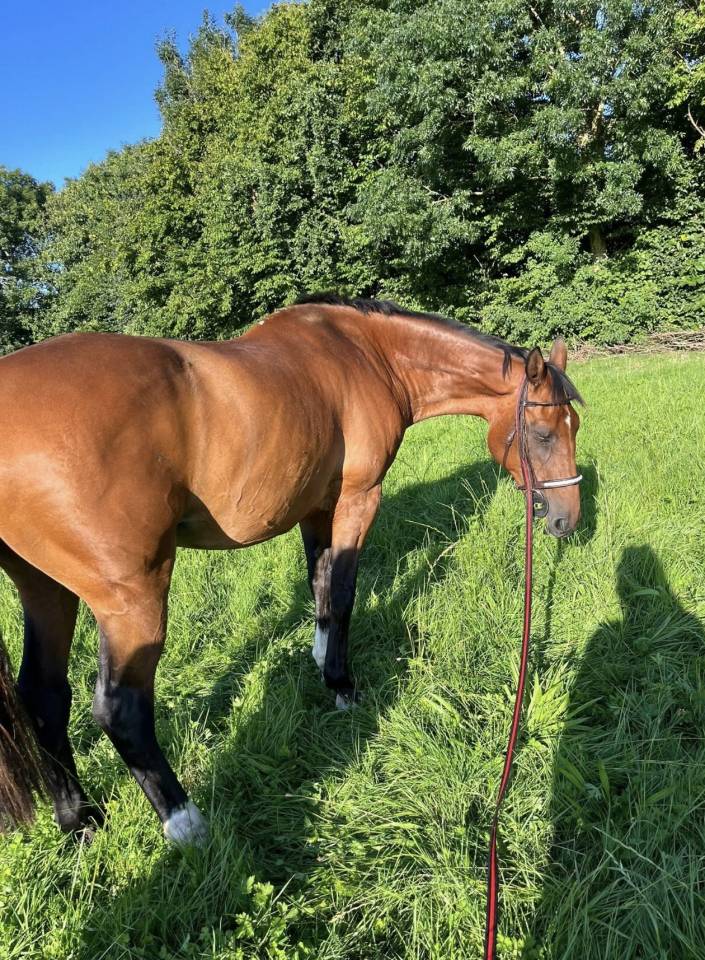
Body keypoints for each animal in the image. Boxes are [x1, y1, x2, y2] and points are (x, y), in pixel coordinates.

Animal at [0, 294, 582, 844]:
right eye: (544, 433)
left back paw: (79, 820)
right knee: (120, 708)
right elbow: (342, 593)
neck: (365, 353)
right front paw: (342, 686)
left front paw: (322, 661)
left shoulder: (316, 508)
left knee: (44, 696)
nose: (566, 520)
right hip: (131, 598)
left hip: (46, 589)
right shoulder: (357, 499)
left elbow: (321, 587)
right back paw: (188, 826)